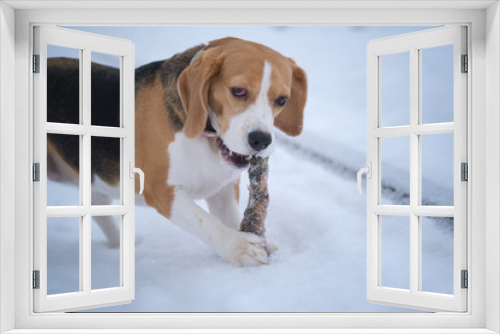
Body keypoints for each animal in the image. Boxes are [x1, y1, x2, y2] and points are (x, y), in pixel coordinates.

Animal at [47, 37, 306, 266]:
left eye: (282, 100)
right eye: (238, 91)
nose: (261, 140)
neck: (206, 136)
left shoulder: (222, 189)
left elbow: (231, 219)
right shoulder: (161, 190)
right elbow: (206, 222)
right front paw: (240, 248)